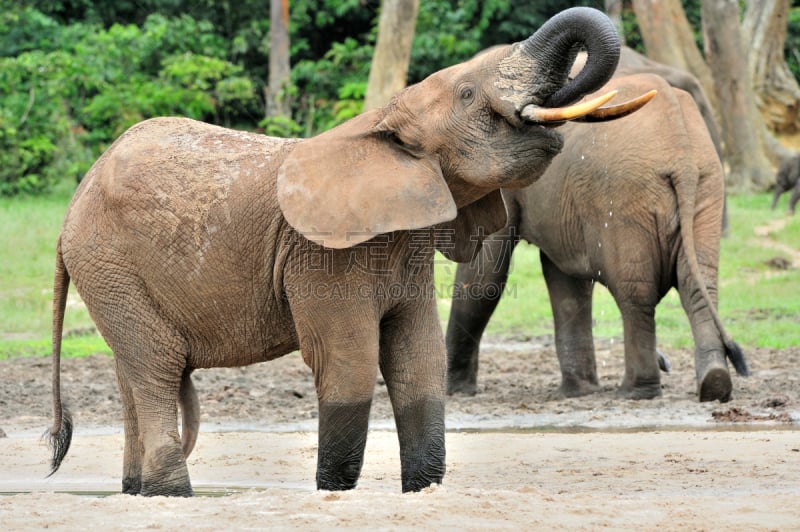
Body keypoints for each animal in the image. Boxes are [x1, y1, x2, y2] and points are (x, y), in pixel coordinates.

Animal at [43, 7, 648, 498]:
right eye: (469, 95)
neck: (379, 124)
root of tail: (75, 200)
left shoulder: (405, 247)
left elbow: (419, 361)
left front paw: (422, 492)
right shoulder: (321, 255)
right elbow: (351, 364)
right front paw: (334, 493)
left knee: (132, 372)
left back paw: (137, 493)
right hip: (110, 265)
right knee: (156, 369)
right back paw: (173, 495)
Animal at [446, 71, 748, 404]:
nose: (666, 362)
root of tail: (681, 154)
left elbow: (485, 275)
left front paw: (453, 390)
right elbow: (564, 283)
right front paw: (578, 392)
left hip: (626, 196)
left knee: (635, 292)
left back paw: (635, 392)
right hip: (706, 188)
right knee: (697, 285)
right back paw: (714, 385)